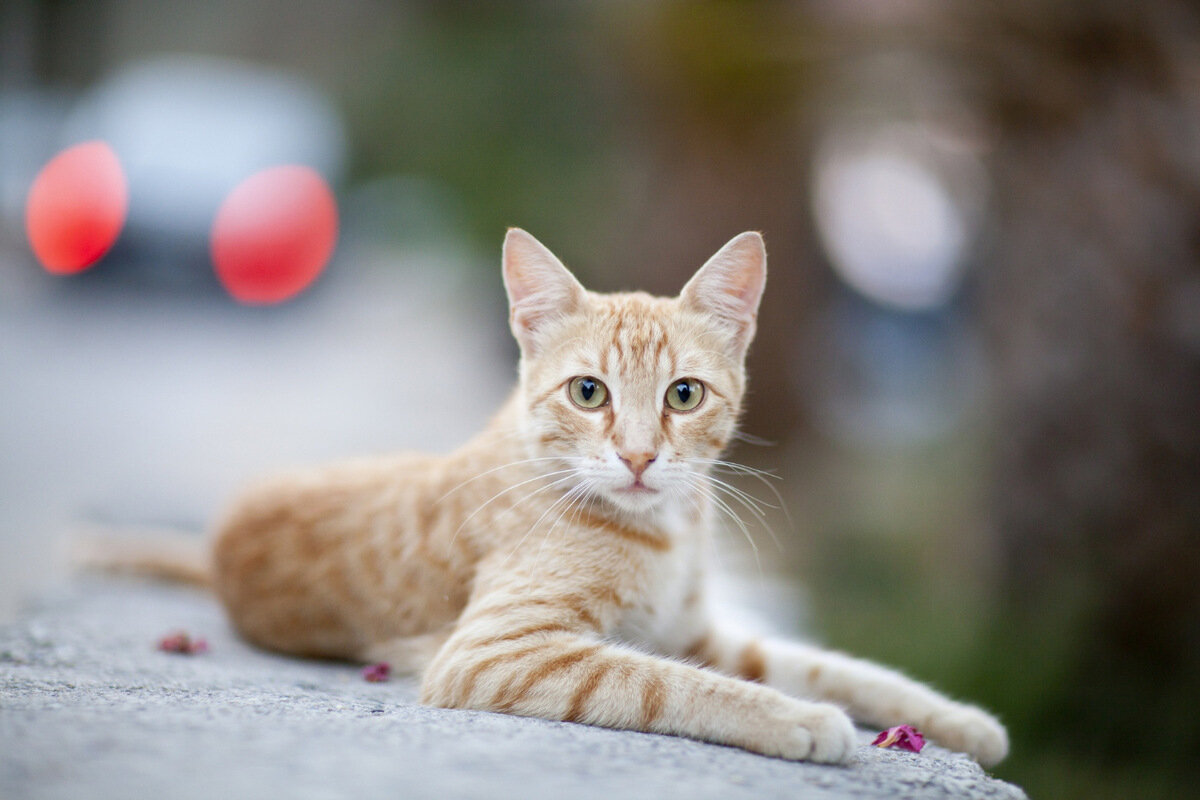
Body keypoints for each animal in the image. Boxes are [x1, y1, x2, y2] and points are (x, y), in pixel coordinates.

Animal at [91, 227, 1003, 767]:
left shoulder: (701, 635)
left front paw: (960, 721)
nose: (637, 456)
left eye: (683, 396)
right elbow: (671, 685)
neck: (665, 532)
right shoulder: (501, 650)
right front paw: (799, 720)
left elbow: (839, 667)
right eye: (589, 393)